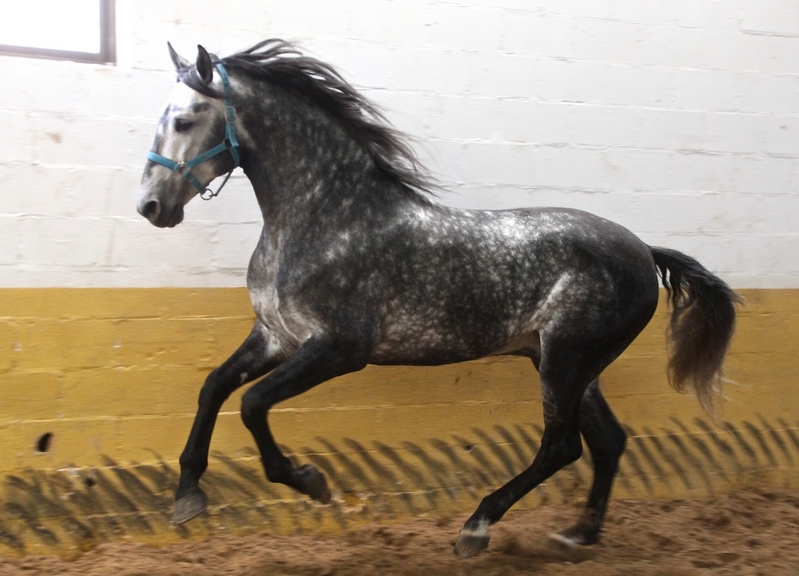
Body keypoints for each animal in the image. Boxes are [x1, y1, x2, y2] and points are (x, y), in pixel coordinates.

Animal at [137, 40, 740, 558]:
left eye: (185, 119)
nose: (150, 206)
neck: (328, 218)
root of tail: (643, 251)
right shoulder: (276, 337)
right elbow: (215, 387)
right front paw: (187, 496)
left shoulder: (338, 349)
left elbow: (253, 403)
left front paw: (310, 481)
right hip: (569, 363)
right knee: (608, 441)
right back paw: (575, 537)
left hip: (566, 361)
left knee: (562, 446)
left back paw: (477, 527)